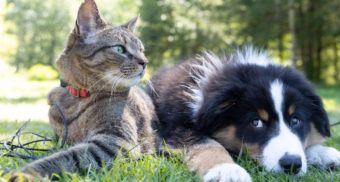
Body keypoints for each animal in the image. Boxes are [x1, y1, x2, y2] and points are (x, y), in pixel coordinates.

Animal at [8, 0, 155, 179]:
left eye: (141, 50)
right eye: (119, 49)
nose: (145, 62)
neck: (77, 97)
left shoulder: (116, 141)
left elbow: (65, 158)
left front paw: (26, 174)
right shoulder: (59, 137)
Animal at [148, 47, 340, 182]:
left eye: (295, 120)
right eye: (256, 122)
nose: (291, 164)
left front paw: (325, 154)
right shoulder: (177, 129)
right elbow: (207, 144)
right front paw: (226, 169)